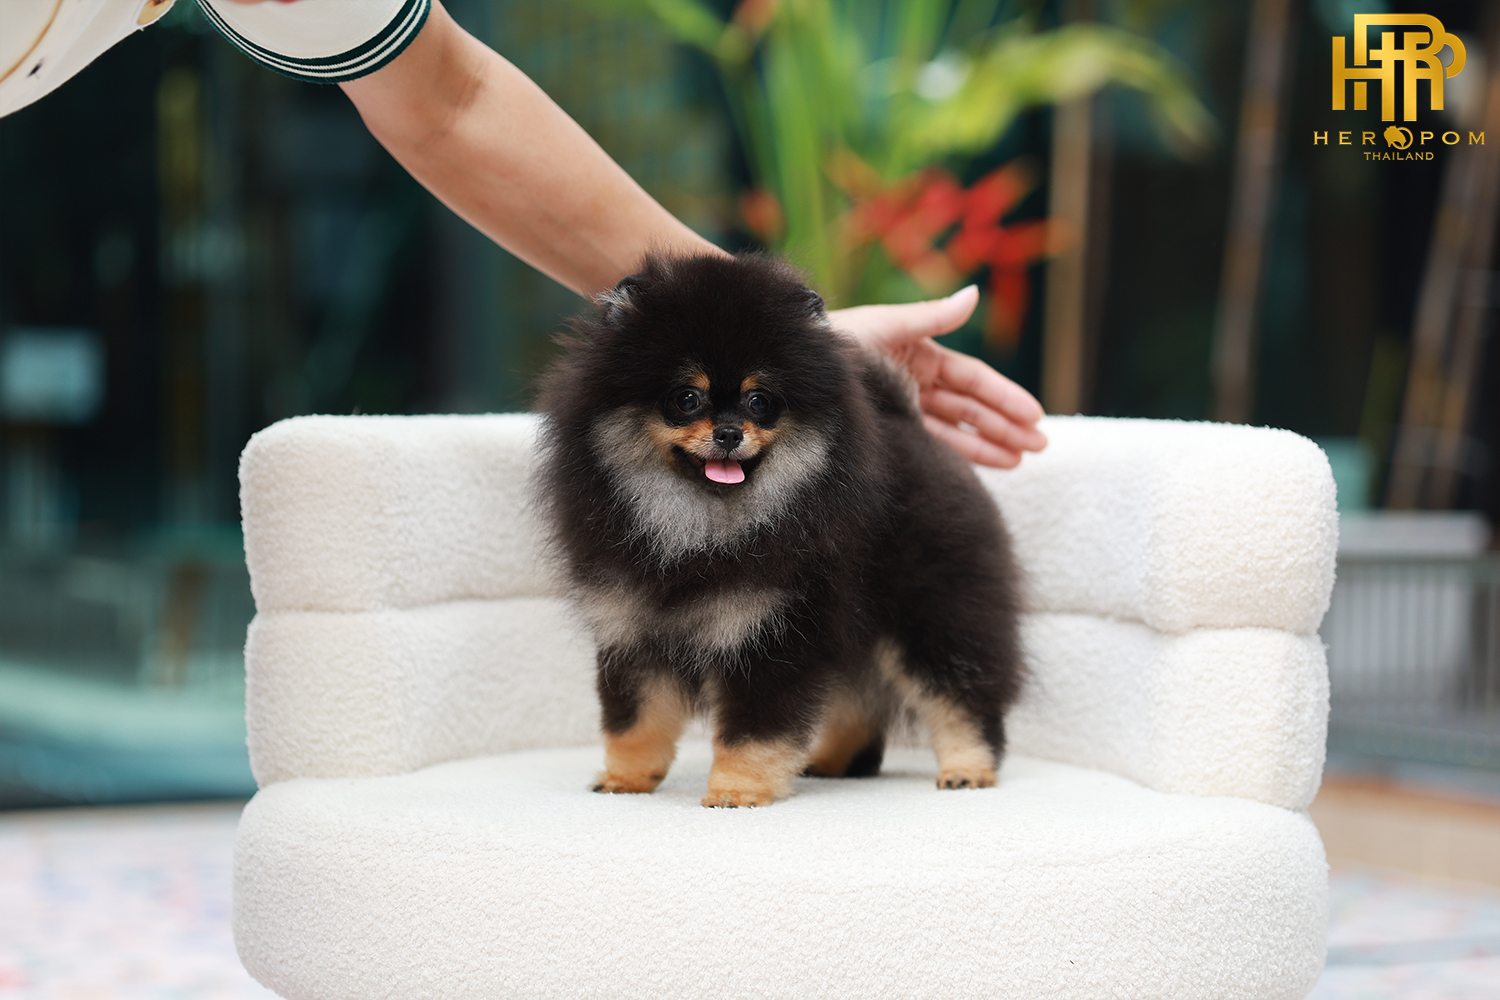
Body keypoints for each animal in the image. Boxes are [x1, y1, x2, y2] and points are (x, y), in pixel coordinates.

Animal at [534, 251, 1022, 807]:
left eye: (760, 401)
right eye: (686, 398)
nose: (729, 432)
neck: (700, 528)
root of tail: (916, 428)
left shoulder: (770, 632)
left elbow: (753, 732)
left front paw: (735, 792)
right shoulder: (631, 628)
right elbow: (634, 721)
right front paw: (625, 779)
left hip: (934, 615)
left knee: (961, 695)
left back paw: (967, 768)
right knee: (857, 700)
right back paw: (832, 762)